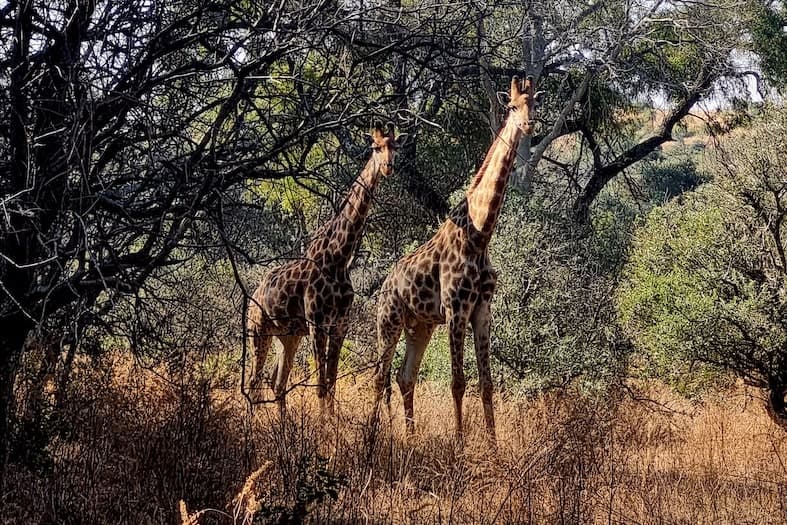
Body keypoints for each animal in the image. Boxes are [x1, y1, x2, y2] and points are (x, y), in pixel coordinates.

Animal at [247, 121, 403, 413]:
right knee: (253, 382)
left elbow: (330, 384)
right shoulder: (317, 323)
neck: (338, 258)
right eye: (376, 147)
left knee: (277, 382)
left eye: (395, 147)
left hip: (288, 336)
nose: (388, 167)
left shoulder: (340, 325)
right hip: (258, 330)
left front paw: (330, 424)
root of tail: (252, 297)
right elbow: (321, 386)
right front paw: (324, 425)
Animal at [374, 76, 539, 442]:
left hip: (419, 326)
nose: (528, 124)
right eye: (511, 106)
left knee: (404, 377)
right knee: (380, 377)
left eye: (534, 103)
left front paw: (493, 445)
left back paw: (409, 437)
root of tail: (385, 284)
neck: (479, 234)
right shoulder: (455, 309)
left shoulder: (482, 309)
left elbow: (487, 384)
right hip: (389, 321)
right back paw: (374, 435)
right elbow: (458, 382)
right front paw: (460, 444)